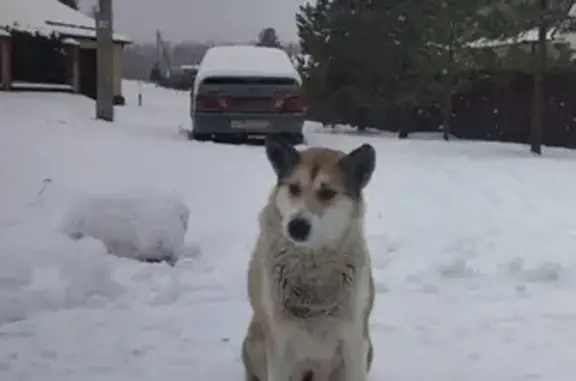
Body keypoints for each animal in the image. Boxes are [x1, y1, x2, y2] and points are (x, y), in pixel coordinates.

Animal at [242, 136, 378, 380]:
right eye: (294, 188)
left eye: (327, 193)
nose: (296, 226)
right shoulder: (279, 346)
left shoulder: (354, 341)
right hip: (255, 342)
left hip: (367, 348)